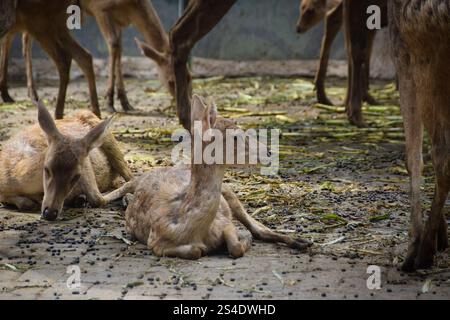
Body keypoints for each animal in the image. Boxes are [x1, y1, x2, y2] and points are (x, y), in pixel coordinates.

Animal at [0, 101, 133, 221]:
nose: (50, 213)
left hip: (109, 140)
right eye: (46, 169)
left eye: (76, 176)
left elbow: (98, 199)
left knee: (128, 176)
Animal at [105, 94, 312, 258]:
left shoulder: (224, 221)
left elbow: (236, 246)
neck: (191, 229)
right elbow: (196, 251)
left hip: (230, 193)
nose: (269, 152)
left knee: (258, 227)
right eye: (235, 136)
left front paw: (242, 238)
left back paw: (303, 242)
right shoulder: (154, 240)